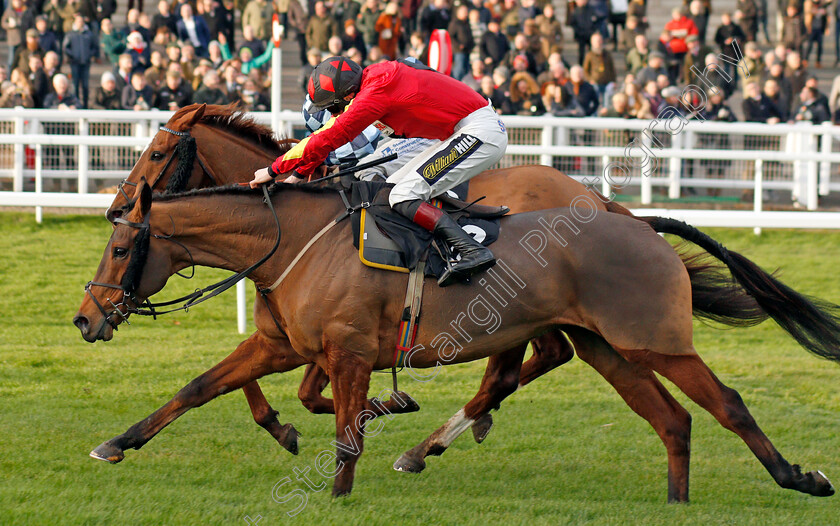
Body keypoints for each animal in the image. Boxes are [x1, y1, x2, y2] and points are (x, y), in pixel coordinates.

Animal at [75, 180, 836, 500]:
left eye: (120, 247)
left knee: (727, 404)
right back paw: (677, 501)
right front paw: (116, 443)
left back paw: (798, 477)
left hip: (655, 342)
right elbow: (195, 389)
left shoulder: (348, 352)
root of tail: (638, 221)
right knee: (673, 420)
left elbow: (346, 431)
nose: (86, 318)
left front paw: (339, 492)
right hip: (608, 349)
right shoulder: (283, 345)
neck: (294, 241)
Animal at [103, 105, 776, 468]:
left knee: (528, 362)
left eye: (158, 151)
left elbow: (308, 387)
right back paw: (462, 427)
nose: (116, 205)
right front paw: (288, 424)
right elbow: (263, 382)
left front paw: (352, 413)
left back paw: (445, 435)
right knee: (540, 358)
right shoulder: (297, 327)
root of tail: (602, 204)